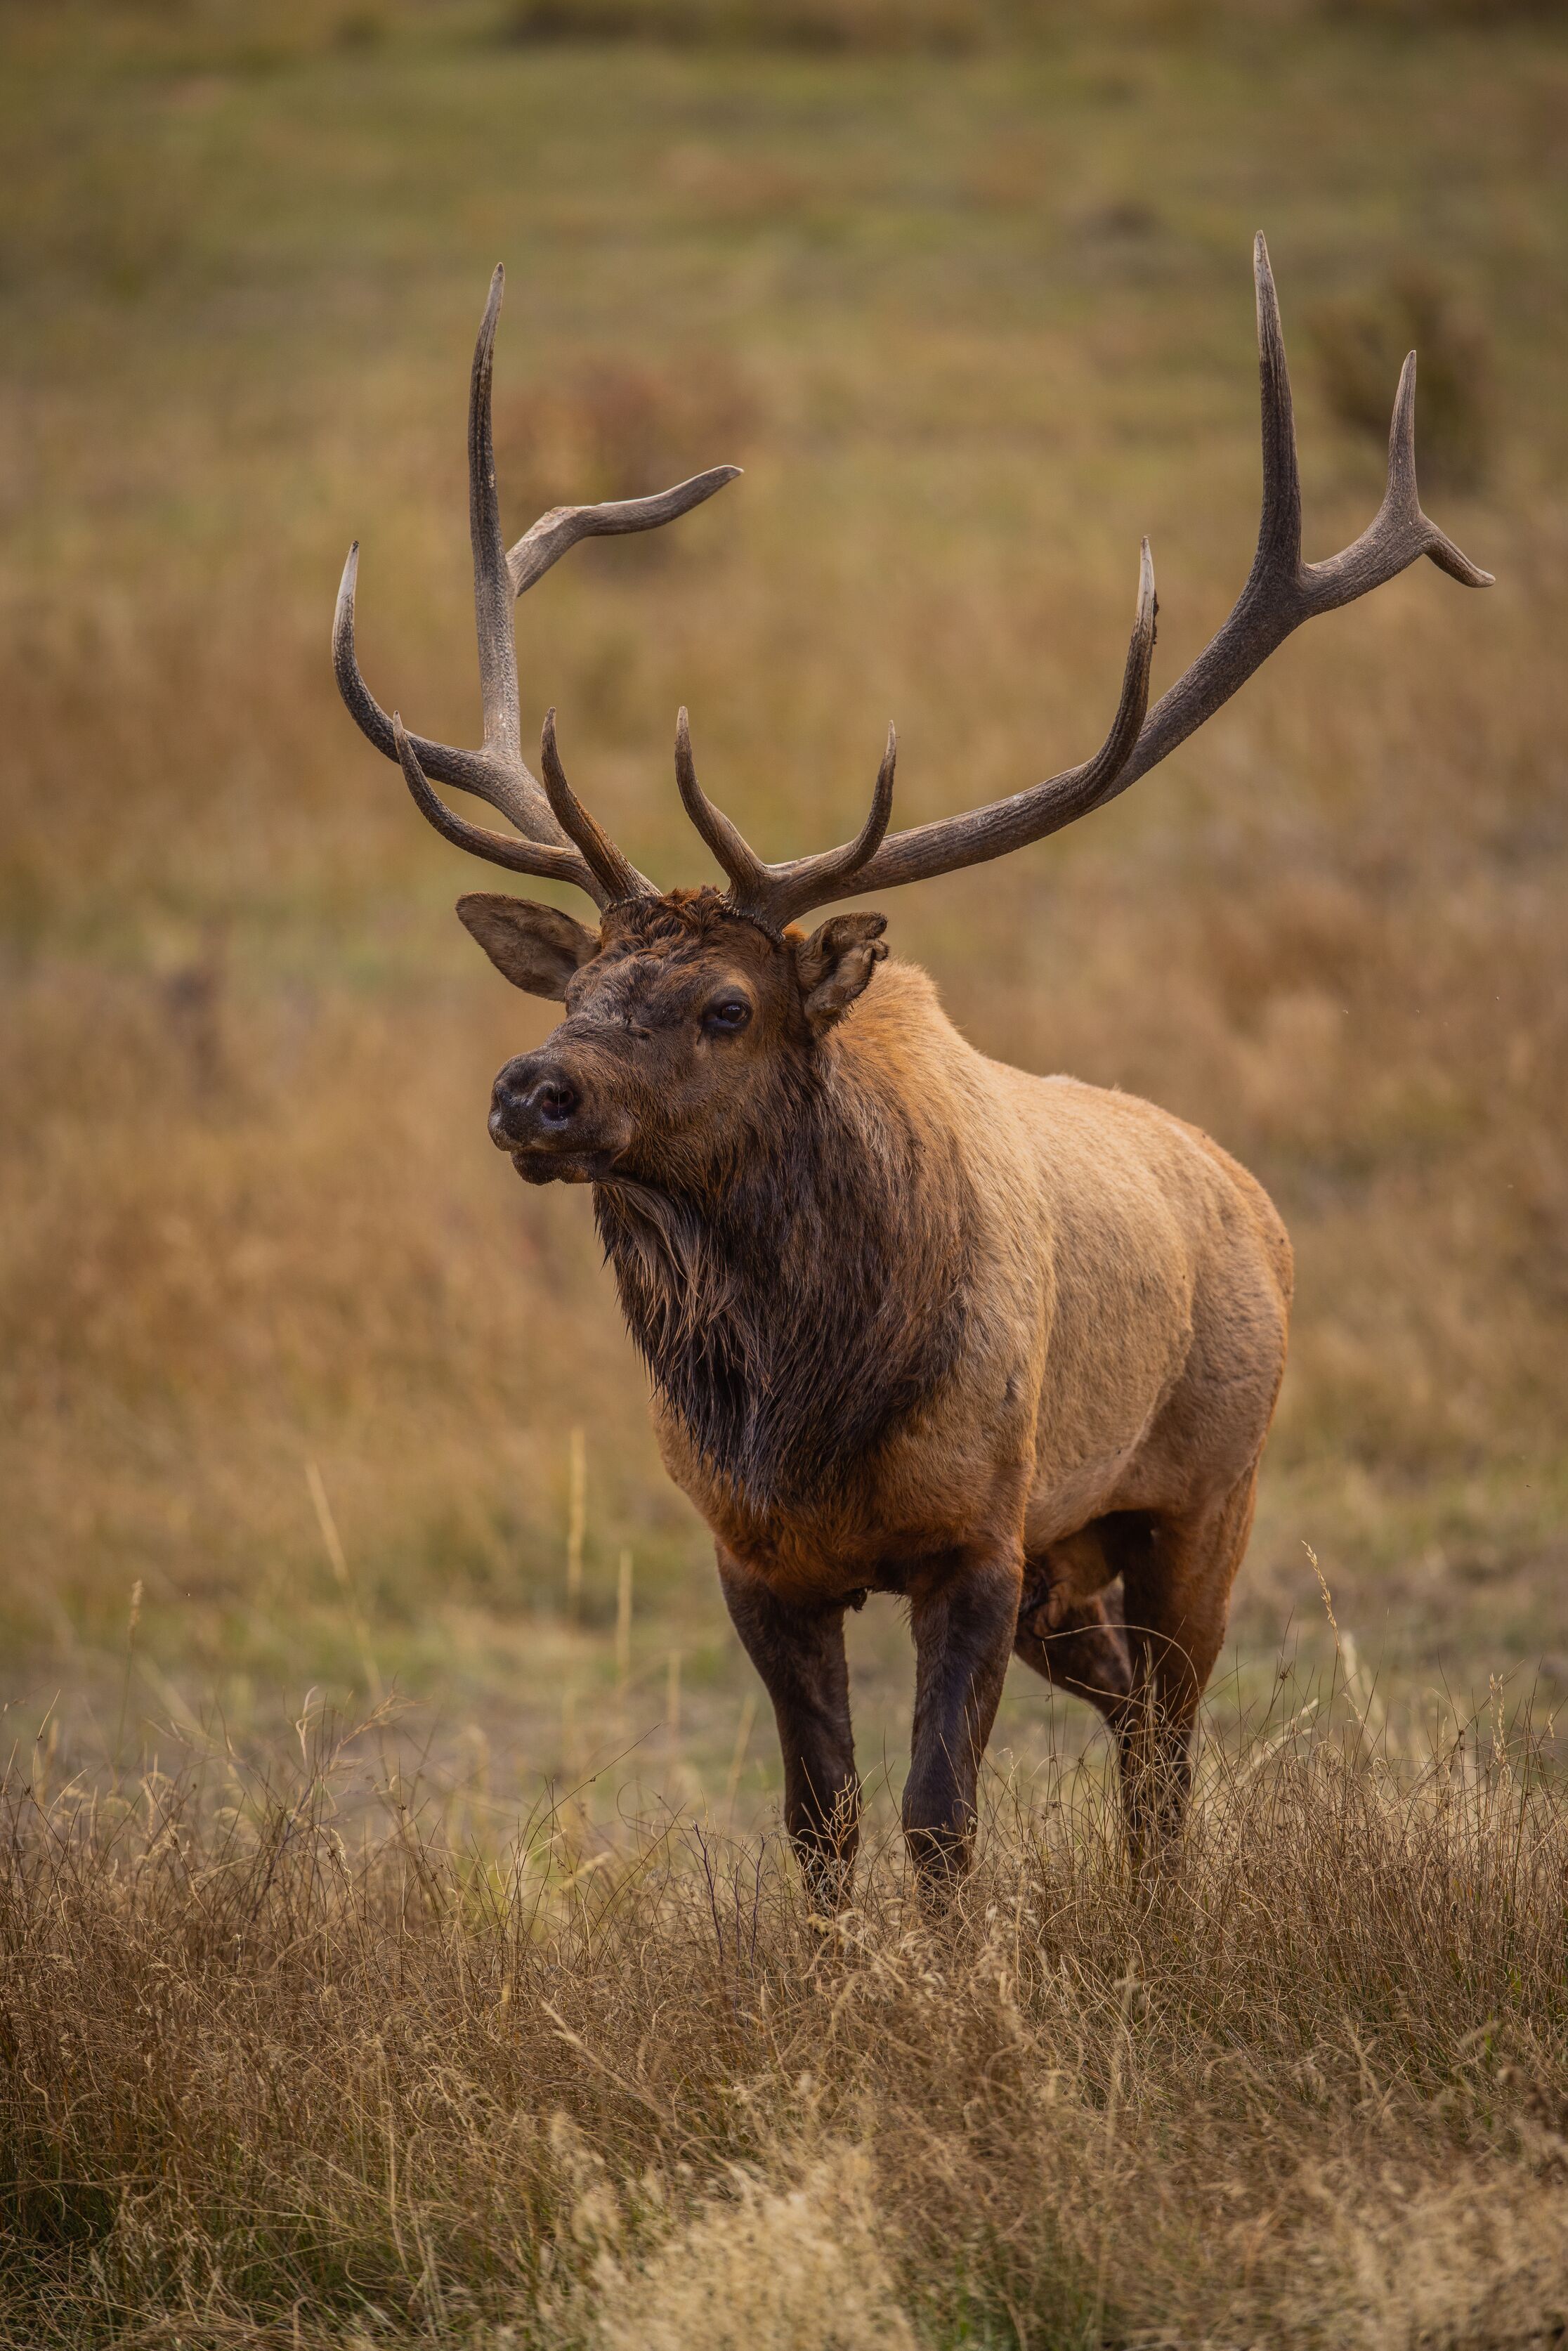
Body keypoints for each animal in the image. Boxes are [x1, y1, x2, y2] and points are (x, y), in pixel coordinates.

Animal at [333, 237, 1489, 1897]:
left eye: (725, 1007)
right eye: (585, 983)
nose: (531, 1090)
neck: (810, 1412)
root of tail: (1248, 1194)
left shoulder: (977, 1534)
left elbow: (941, 1819)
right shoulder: (754, 1559)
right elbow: (818, 1826)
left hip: (1203, 1491)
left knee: (1165, 1746)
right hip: (1076, 1572)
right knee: (1132, 1715)